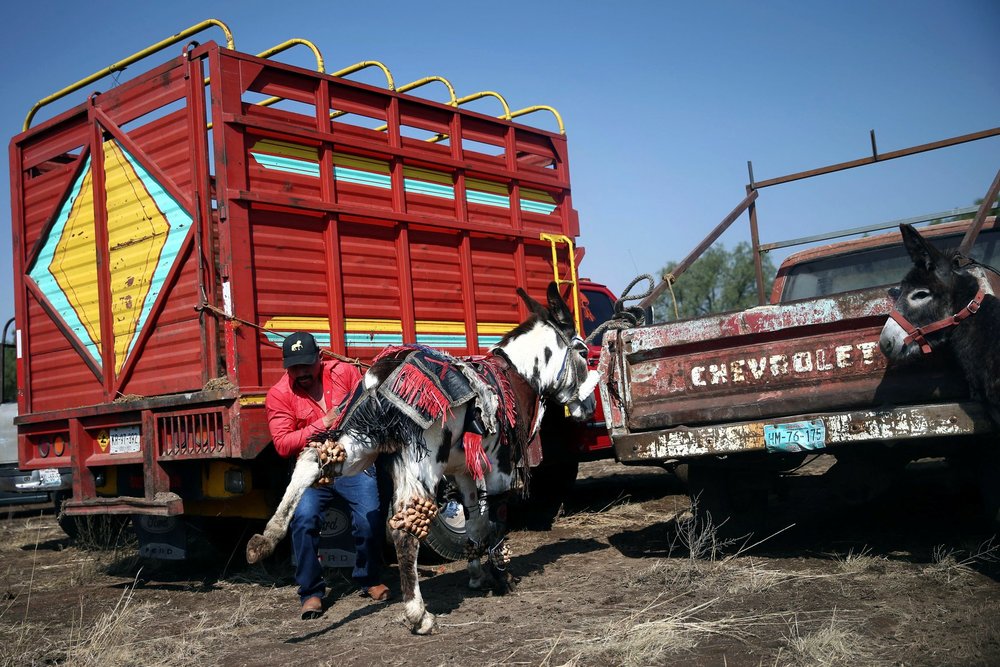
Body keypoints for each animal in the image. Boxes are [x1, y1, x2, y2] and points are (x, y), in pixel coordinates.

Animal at [246, 282, 600, 634]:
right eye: (583, 352)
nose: (589, 406)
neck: (516, 376)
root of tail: (380, 374)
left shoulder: (462, 471)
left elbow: (474, 521)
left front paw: (477, 575)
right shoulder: (500, 466)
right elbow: (496, 520)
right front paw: (502, 578)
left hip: (362, 444)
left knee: (311, 460)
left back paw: (264, 541)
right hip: (421, 462)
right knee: (404, 530)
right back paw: (418, 614)